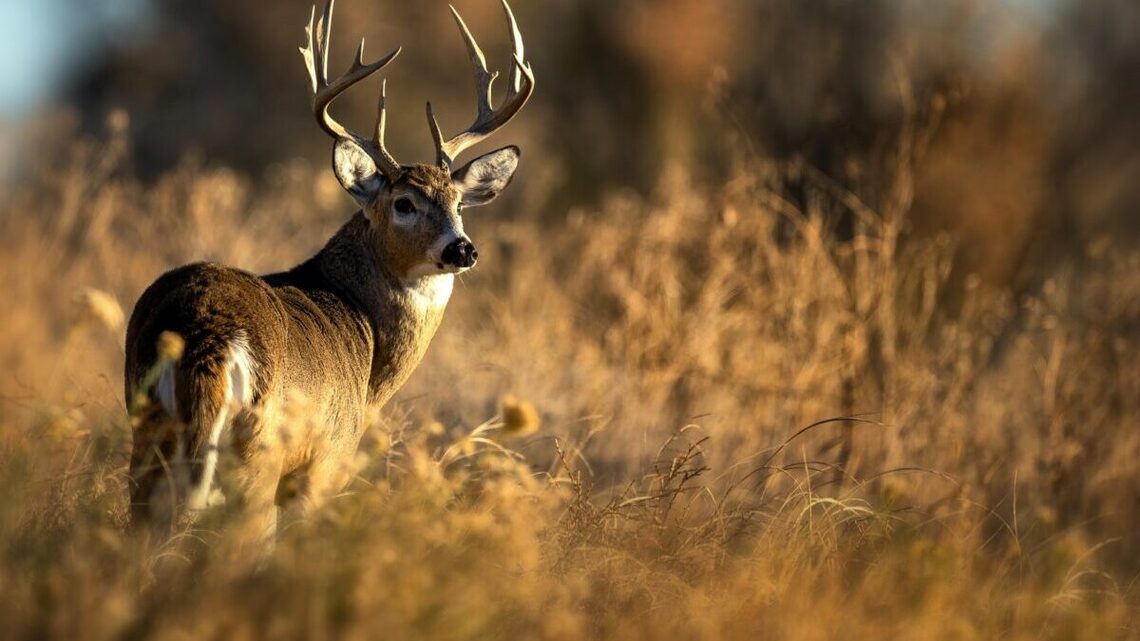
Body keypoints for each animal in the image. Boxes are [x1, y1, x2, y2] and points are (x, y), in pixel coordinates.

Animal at [124, 0, 534, 541]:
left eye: (460, 203)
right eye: (404, 203)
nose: (463, 249)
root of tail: (208, 334)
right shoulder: (328, 458)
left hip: (146, 432)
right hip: (257, 455)